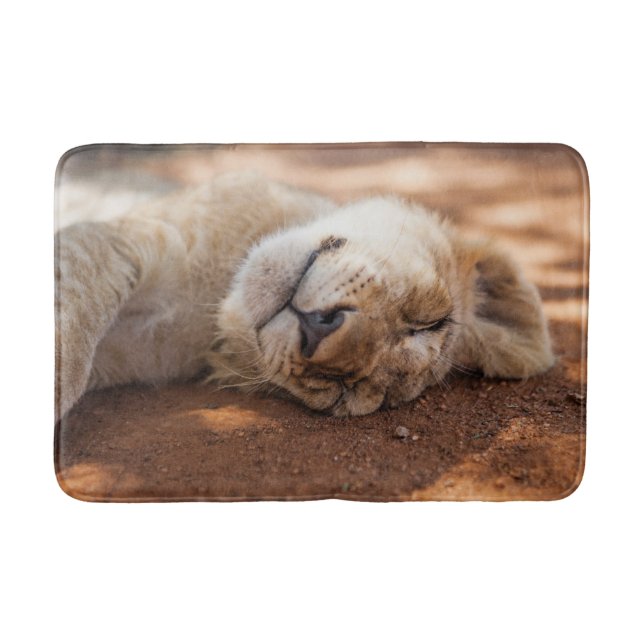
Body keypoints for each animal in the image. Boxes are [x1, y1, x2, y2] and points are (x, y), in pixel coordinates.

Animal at [55, 171, 554, 420]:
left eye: (339, 393)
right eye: (427, 321)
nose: (317, 330)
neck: (213, 295)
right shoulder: (124, 235)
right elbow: (76, 318)